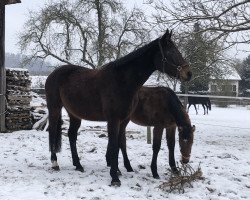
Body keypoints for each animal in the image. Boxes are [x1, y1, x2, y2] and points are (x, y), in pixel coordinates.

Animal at [45, 29, 192, 186]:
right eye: (171, 51)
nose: (188, 73)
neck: (122, 81)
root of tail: (53, 74)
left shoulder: (123, 119)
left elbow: (118, 144)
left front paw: (117, 171)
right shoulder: (114, 120)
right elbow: (115, 144)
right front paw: (115, 177)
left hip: (74, 114)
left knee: (72, 135)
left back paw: (78, 165)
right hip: (54, 109)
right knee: (52, 131)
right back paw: (54, 163)